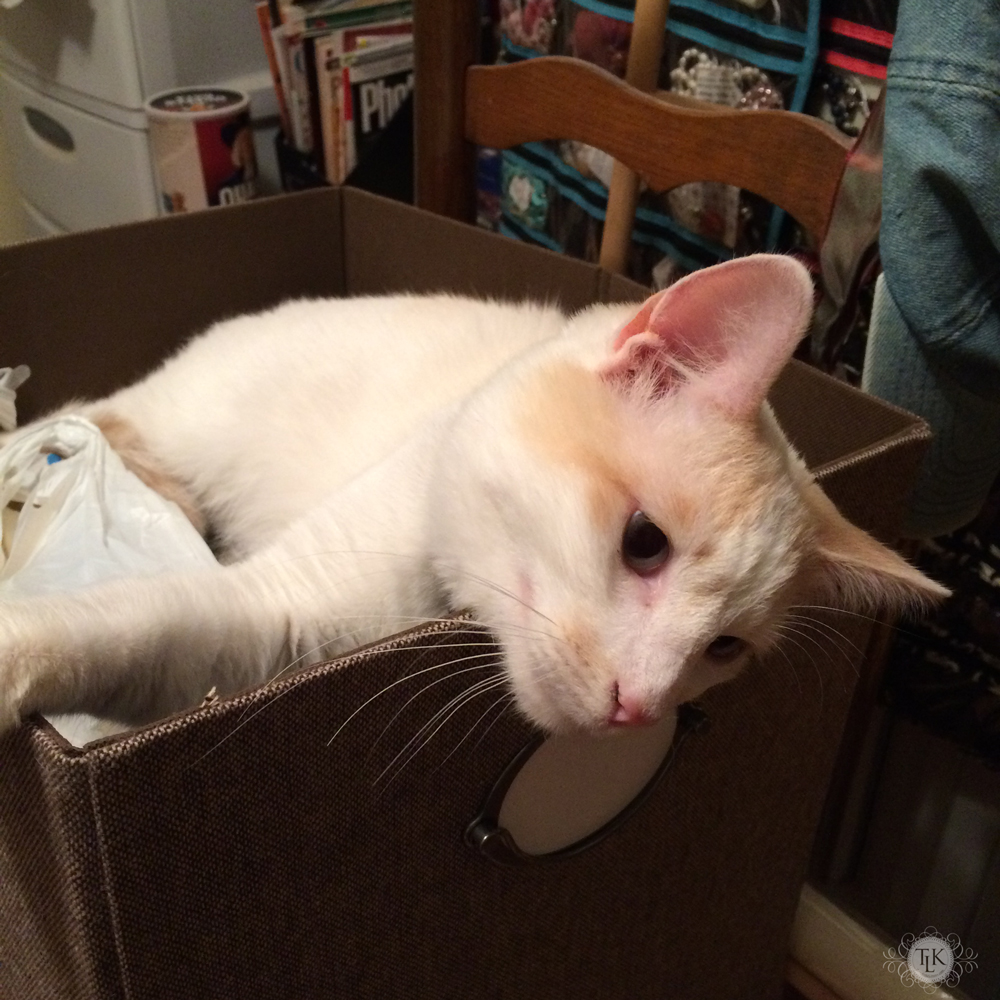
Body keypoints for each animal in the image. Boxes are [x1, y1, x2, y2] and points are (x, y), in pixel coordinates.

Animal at [0, 258, 948, 736]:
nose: (639, 709)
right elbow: (126, 626)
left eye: (724, 650)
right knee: (83, 416)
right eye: (645, 541)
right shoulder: (280, 599)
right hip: (181, 413)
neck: (446, 590)